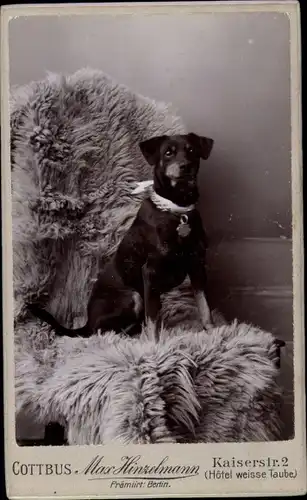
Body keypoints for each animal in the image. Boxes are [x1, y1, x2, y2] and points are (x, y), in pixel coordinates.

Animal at [28, 133, 217, 340]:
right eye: (168, 153)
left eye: (192, 150)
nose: (185, 166)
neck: (177, 209)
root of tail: (87, 322)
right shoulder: (150, 272)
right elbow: (152, 320)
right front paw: (155, 344)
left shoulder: (197, 266)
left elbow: (204, 306)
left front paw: (214, 333)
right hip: (133, 296)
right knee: (103, 331)